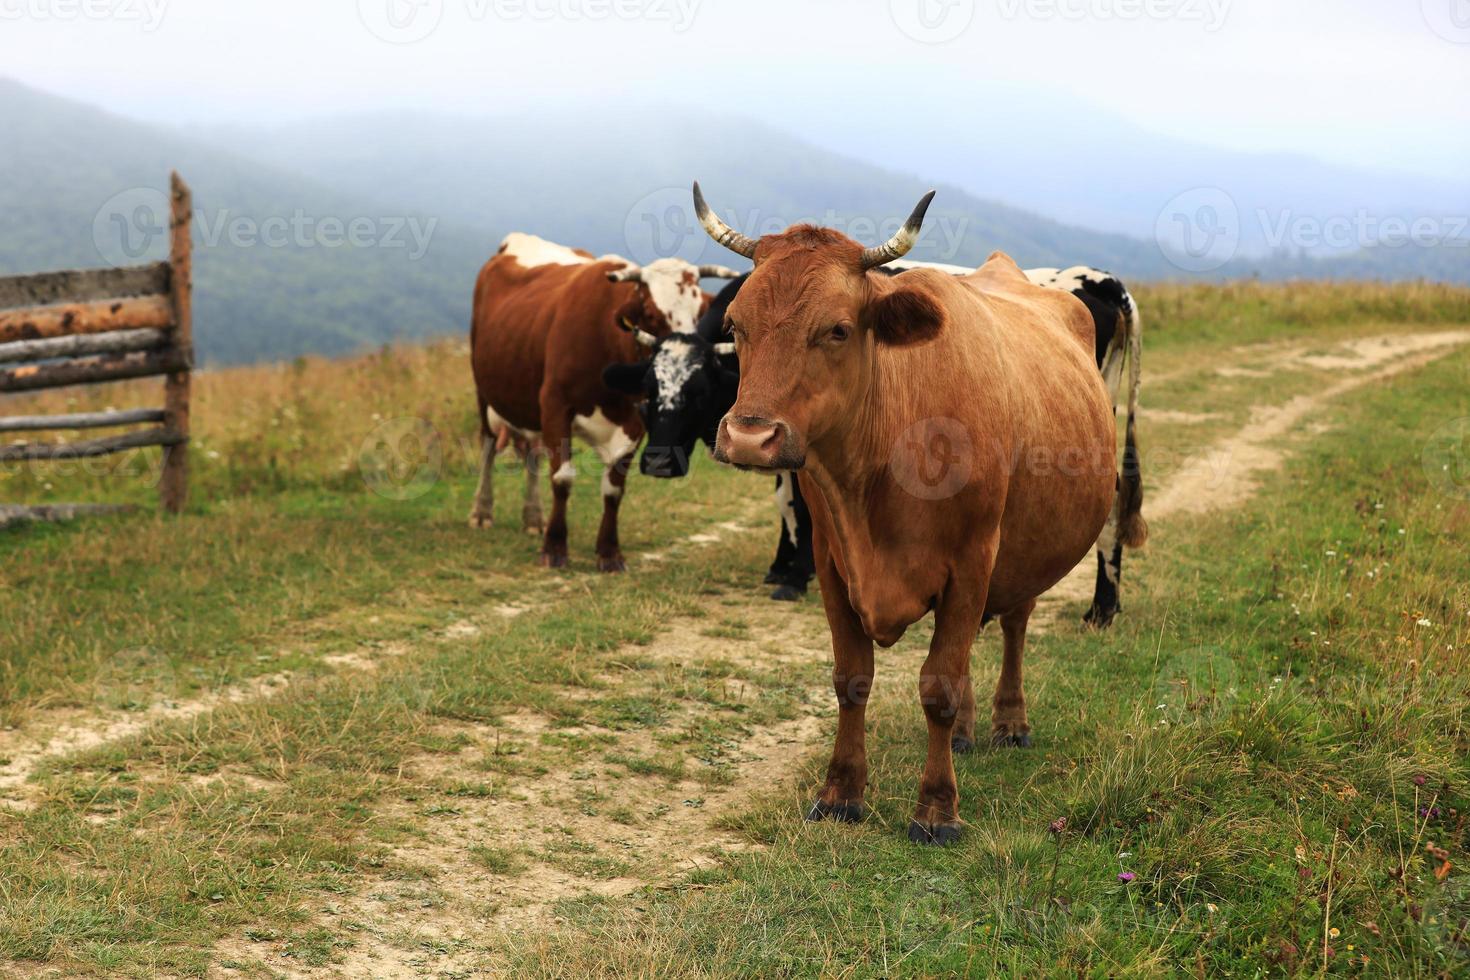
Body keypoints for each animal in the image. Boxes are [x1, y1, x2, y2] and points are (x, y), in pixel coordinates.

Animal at [470, 233, 740, 570]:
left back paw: (533, 518)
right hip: (485, 392)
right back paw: (482, 511)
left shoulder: (634, 421)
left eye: (698, 315)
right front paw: (554, 547)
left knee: (532, 453)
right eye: (651, 315)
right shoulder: (555, 404)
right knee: (488, 446)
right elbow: (562, 478)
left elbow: (614, 489)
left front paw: (609, 552)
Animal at [602, 262, 1140, 628]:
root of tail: (1100, 281)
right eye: (649, 390)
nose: (658, 463)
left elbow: (797, 503)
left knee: (1111, 500)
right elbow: (783, 498)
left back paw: (1102, 609)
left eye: (695, 391)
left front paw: (795, 576)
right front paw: (781, 567)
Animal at [690, 188, 1123, 846]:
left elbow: (937, 684)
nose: (748, 438)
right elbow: (852, 679)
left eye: (838, 329)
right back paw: (967, 735)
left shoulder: (972, 561)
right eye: (736, 325)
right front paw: (840, 794)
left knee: (1014, 627)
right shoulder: (832, 562)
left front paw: (937, 810)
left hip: (1024, 549)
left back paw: (1009, 723)